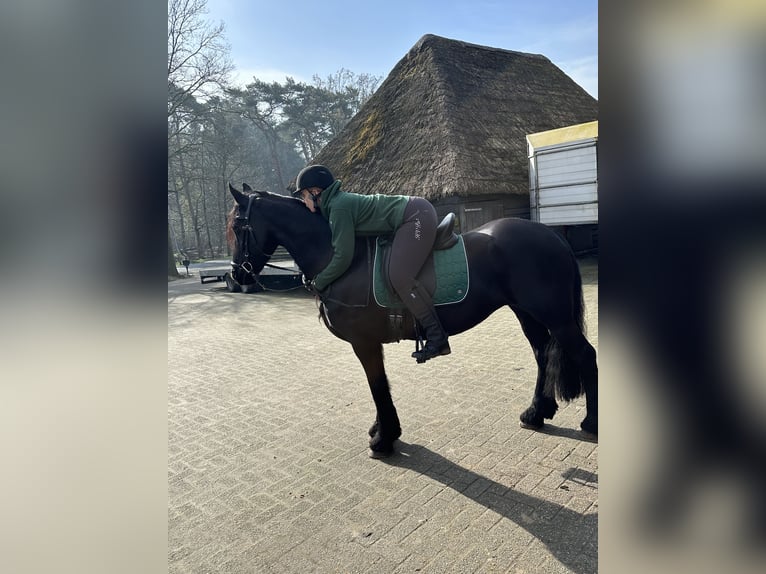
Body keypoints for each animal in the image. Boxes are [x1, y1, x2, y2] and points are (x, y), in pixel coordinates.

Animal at [228, 184, 600, 460]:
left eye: (235, 227)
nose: (236, 277)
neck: (341, 257)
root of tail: (551, 235)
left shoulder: (364, 343)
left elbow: (378, 386)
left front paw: (384, 439)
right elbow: (379, 387)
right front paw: (382, 430)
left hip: (556, 316)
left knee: (585, 355)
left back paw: (591, 422)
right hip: (527, 312)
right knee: (542, 354)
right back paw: (536, 413)